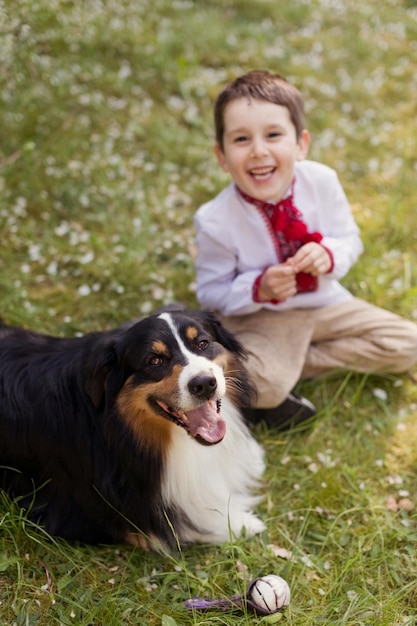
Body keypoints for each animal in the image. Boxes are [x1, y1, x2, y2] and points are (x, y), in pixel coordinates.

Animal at [0, 310, 264, 548]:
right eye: (155, 360)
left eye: (202, 343)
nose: (204, 384)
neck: (119, 429)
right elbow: (187, 520)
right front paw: (244, 522)